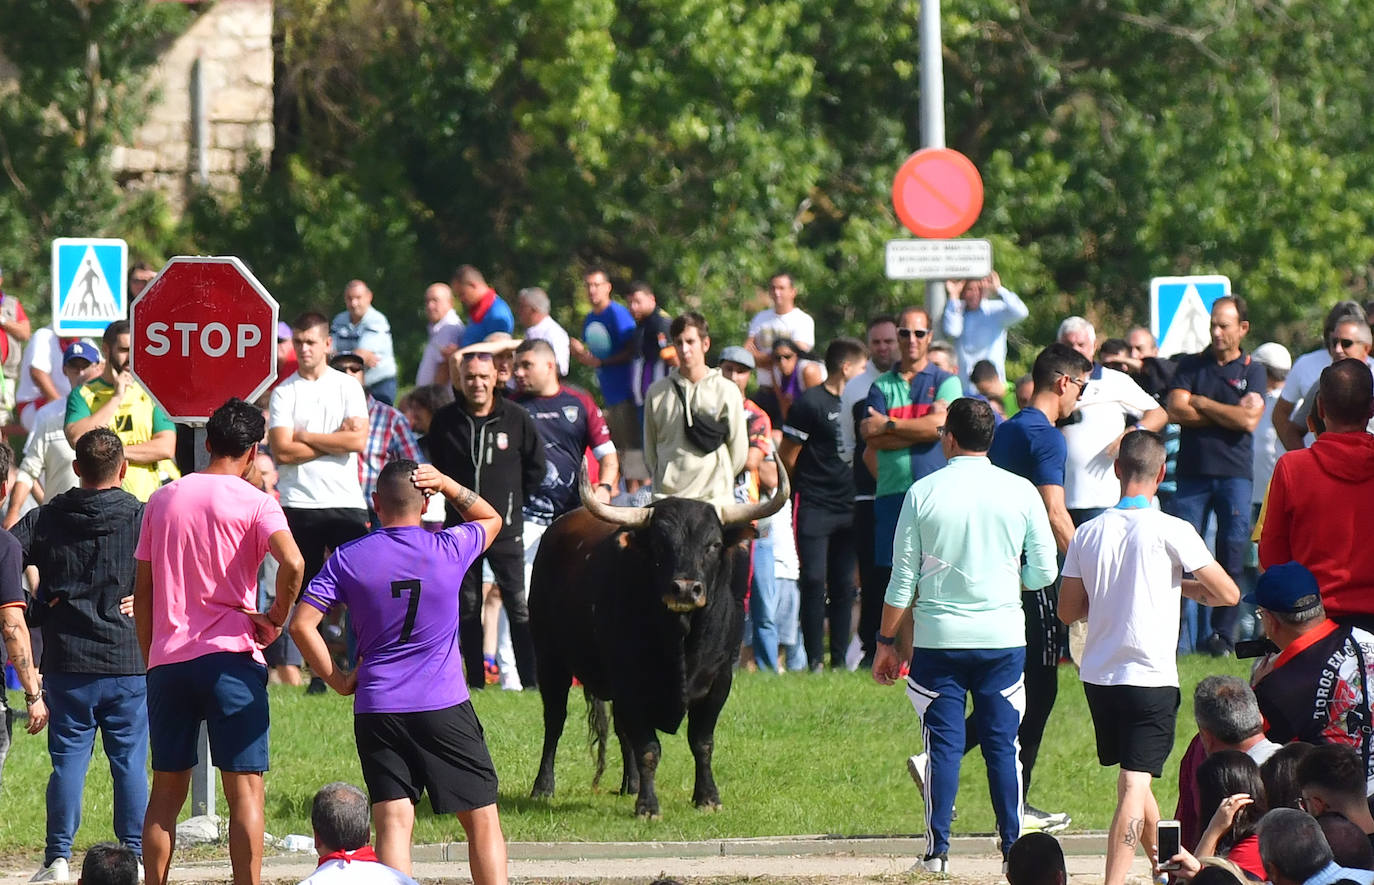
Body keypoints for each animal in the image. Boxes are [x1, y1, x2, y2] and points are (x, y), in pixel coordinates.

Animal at [530, 469, 791, 813]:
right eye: (659, 543)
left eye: (713, 544)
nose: (685, 588)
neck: (681, 640)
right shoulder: (630, 682)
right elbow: (649, 747)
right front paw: (648, 806)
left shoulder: (719, 680)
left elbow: (702, 742)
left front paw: (707, 797)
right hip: (550, 660)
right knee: (554, 722)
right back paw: (543, 787)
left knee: (619, 730)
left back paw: (630, 785)